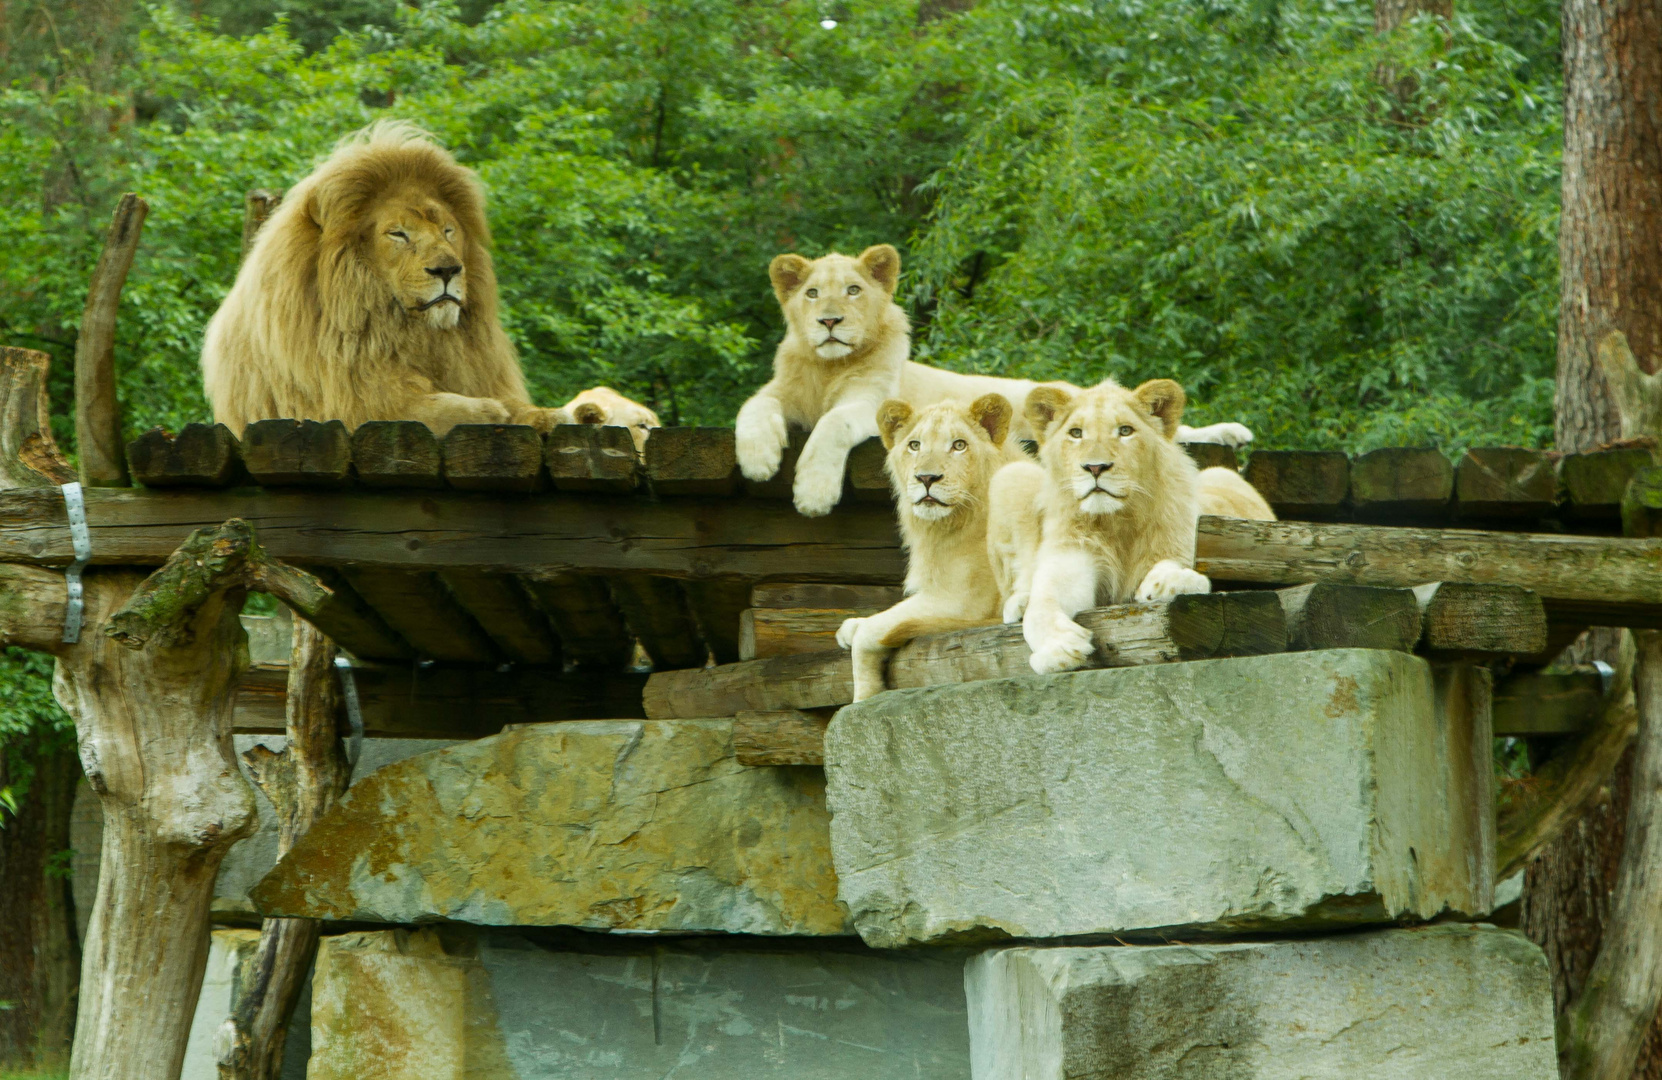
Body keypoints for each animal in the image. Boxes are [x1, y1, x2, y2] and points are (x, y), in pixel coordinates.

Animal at [198, 121, 565, 432]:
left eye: (448, 231)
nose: (448, 269)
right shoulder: (350, 403)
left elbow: (526, 408)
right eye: (398, 234)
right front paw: (491, 412)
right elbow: (432, 409)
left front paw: (562, 413)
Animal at [734, 245, 1243, 515]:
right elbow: (751, 408)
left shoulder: (872, 401)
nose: (829, 322)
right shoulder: (779, 392)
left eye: (854, 290)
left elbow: (832, 424)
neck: (829, 367)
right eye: (812, 293)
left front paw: (812, 494)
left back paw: (1231, 432)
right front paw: (758, 460)